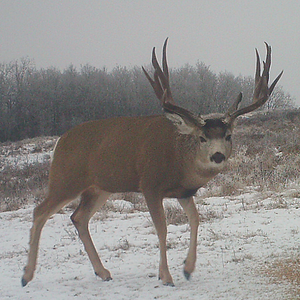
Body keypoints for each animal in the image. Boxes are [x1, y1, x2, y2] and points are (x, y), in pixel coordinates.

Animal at [21, 38, 284, 288]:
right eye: (202, 137)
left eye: (228, 135)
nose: (217, 155)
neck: (179, 160)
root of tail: (60, 142)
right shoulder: (150, 184)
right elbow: (162, 228)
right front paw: (166, 276)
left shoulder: (184, 192)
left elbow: (195, 220)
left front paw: (187, 269)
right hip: (66, 178)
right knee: (40, 211)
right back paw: (27, 275)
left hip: (99, 188)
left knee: (78, 217)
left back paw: (103, 272)